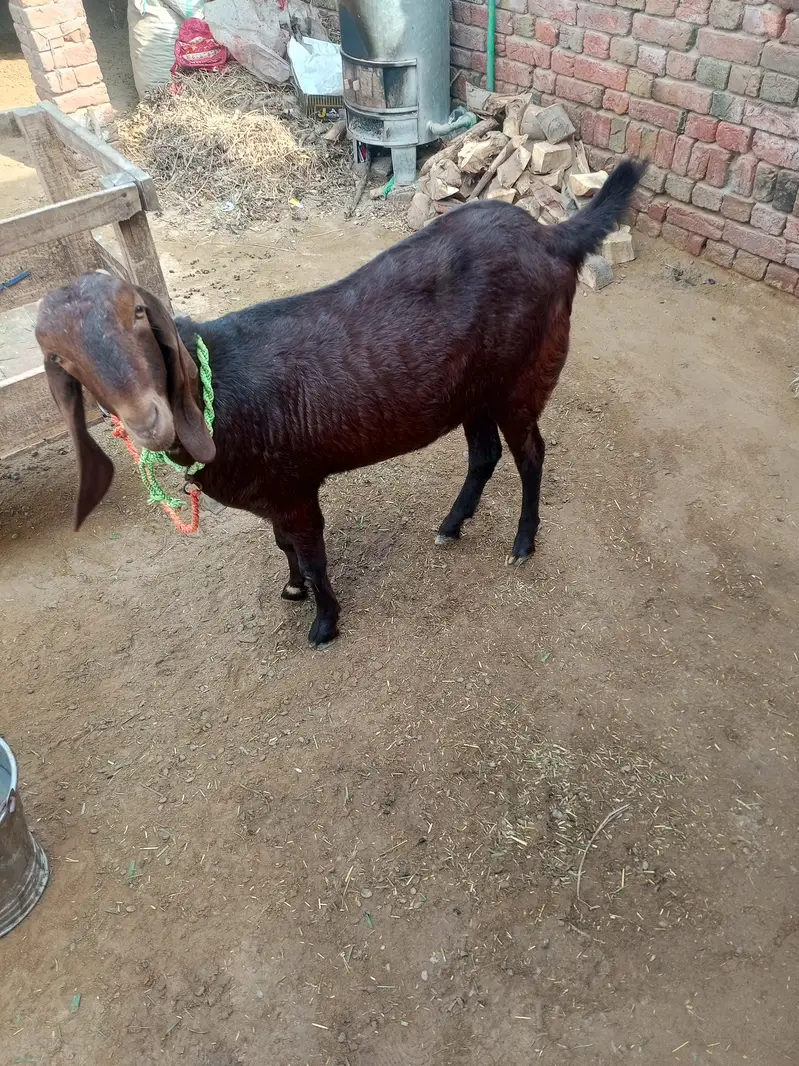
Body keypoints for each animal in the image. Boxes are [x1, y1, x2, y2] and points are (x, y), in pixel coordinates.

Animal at [36, 159, 644, 647]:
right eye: (59, 358)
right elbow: (283, 545)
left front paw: (324, 623)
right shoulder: (275, 493)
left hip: (522, 377)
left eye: (139, 314)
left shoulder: (295, 487)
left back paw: (522, 541)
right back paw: (451, 524)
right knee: (485, 455)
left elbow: (309, 551)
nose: (148, 421)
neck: (220, 391)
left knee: (531, 454)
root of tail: (551, 237)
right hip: (471, 392)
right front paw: (292, 589)